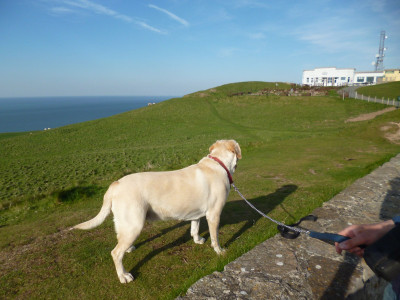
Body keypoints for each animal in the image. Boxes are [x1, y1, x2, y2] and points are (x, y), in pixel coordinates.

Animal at [72, 139, 241, 282]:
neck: (218, 164)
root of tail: (116, 183)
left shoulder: (196, 213)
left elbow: (195, 227)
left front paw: (197, 239)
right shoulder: (214, 214)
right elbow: (215, 237)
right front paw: (220, 251)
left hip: (126, 224)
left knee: (120, 240)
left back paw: (129, 249)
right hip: (135, 224)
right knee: (115, 253)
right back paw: (123, 276)